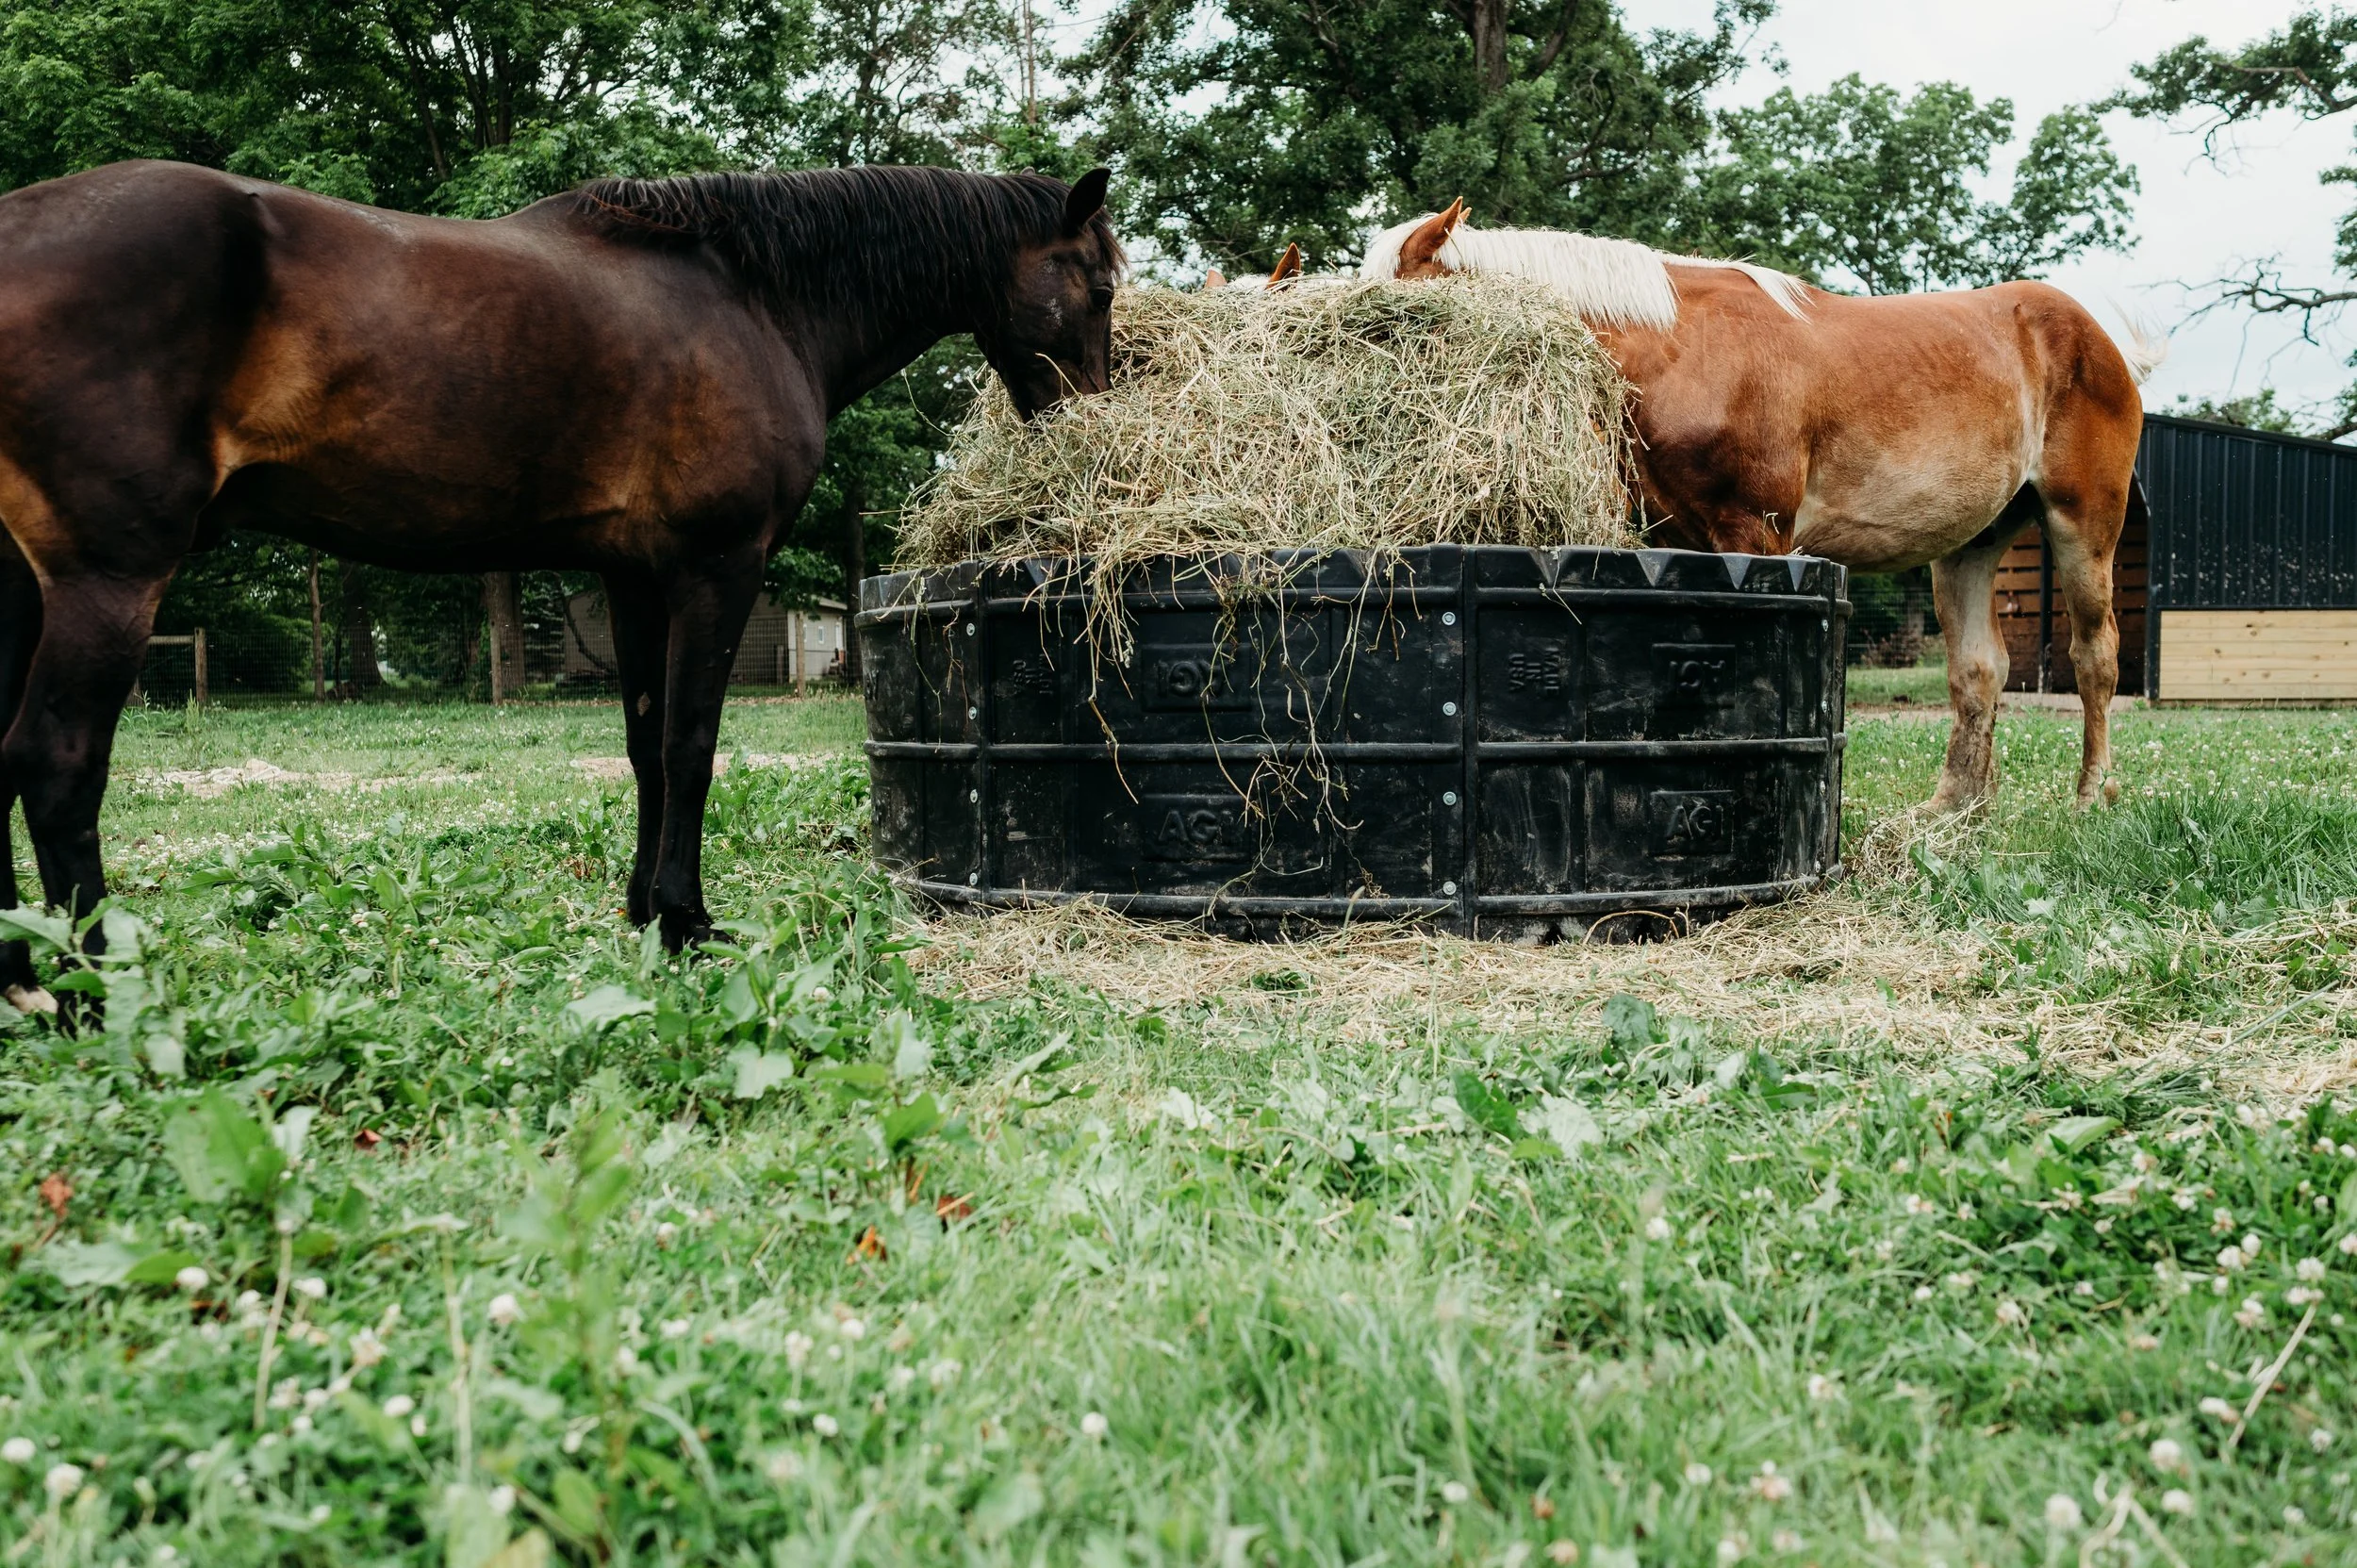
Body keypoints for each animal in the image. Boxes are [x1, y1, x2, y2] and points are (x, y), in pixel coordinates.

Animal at [0, 160, 1123, 1010]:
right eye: (1101, 285)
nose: (1093, 420)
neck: (754, 296)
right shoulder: (716, 567)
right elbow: (690, 745)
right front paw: (687, 921)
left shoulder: (632, 576)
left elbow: (644, 747)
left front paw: (642, 909)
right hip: (107, 579)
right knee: (55, 765)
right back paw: (86, 989)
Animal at [1360, 203, 2164, 814]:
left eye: (1393, 314)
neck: (1681, 348)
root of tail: (2097, 337)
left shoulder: (1757, 535)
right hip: (1970, 546)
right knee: (1978, 671)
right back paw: (1952, 810)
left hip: (2083, 524)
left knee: (2095, 657)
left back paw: (2091, 795)